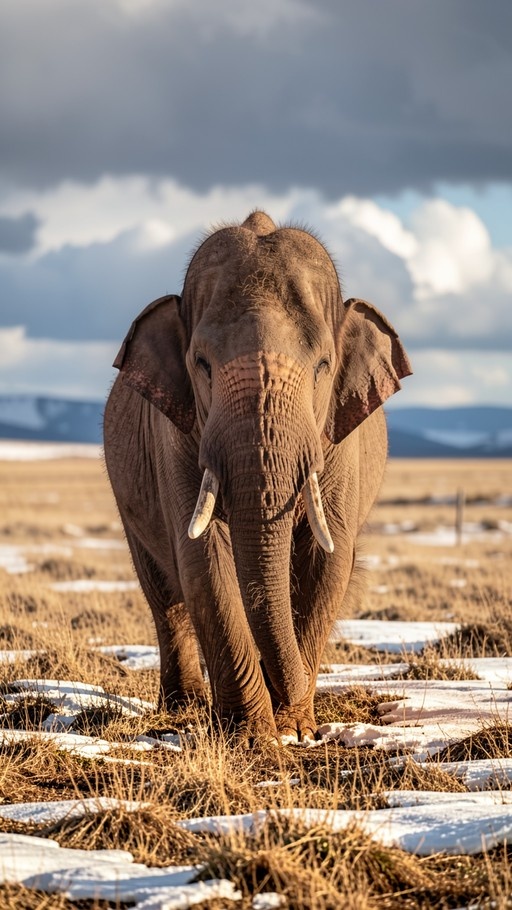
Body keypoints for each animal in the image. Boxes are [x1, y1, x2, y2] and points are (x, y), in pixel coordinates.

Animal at [103, 211, 412, 741]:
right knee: (164, 592)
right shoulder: (175, 438)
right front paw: (252, 735)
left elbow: (327, 560)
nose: (290, 702)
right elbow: (205, 559)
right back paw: (183, 710)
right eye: (202, 364)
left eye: (323, 365)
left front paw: (295, 729)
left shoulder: (338, 445)